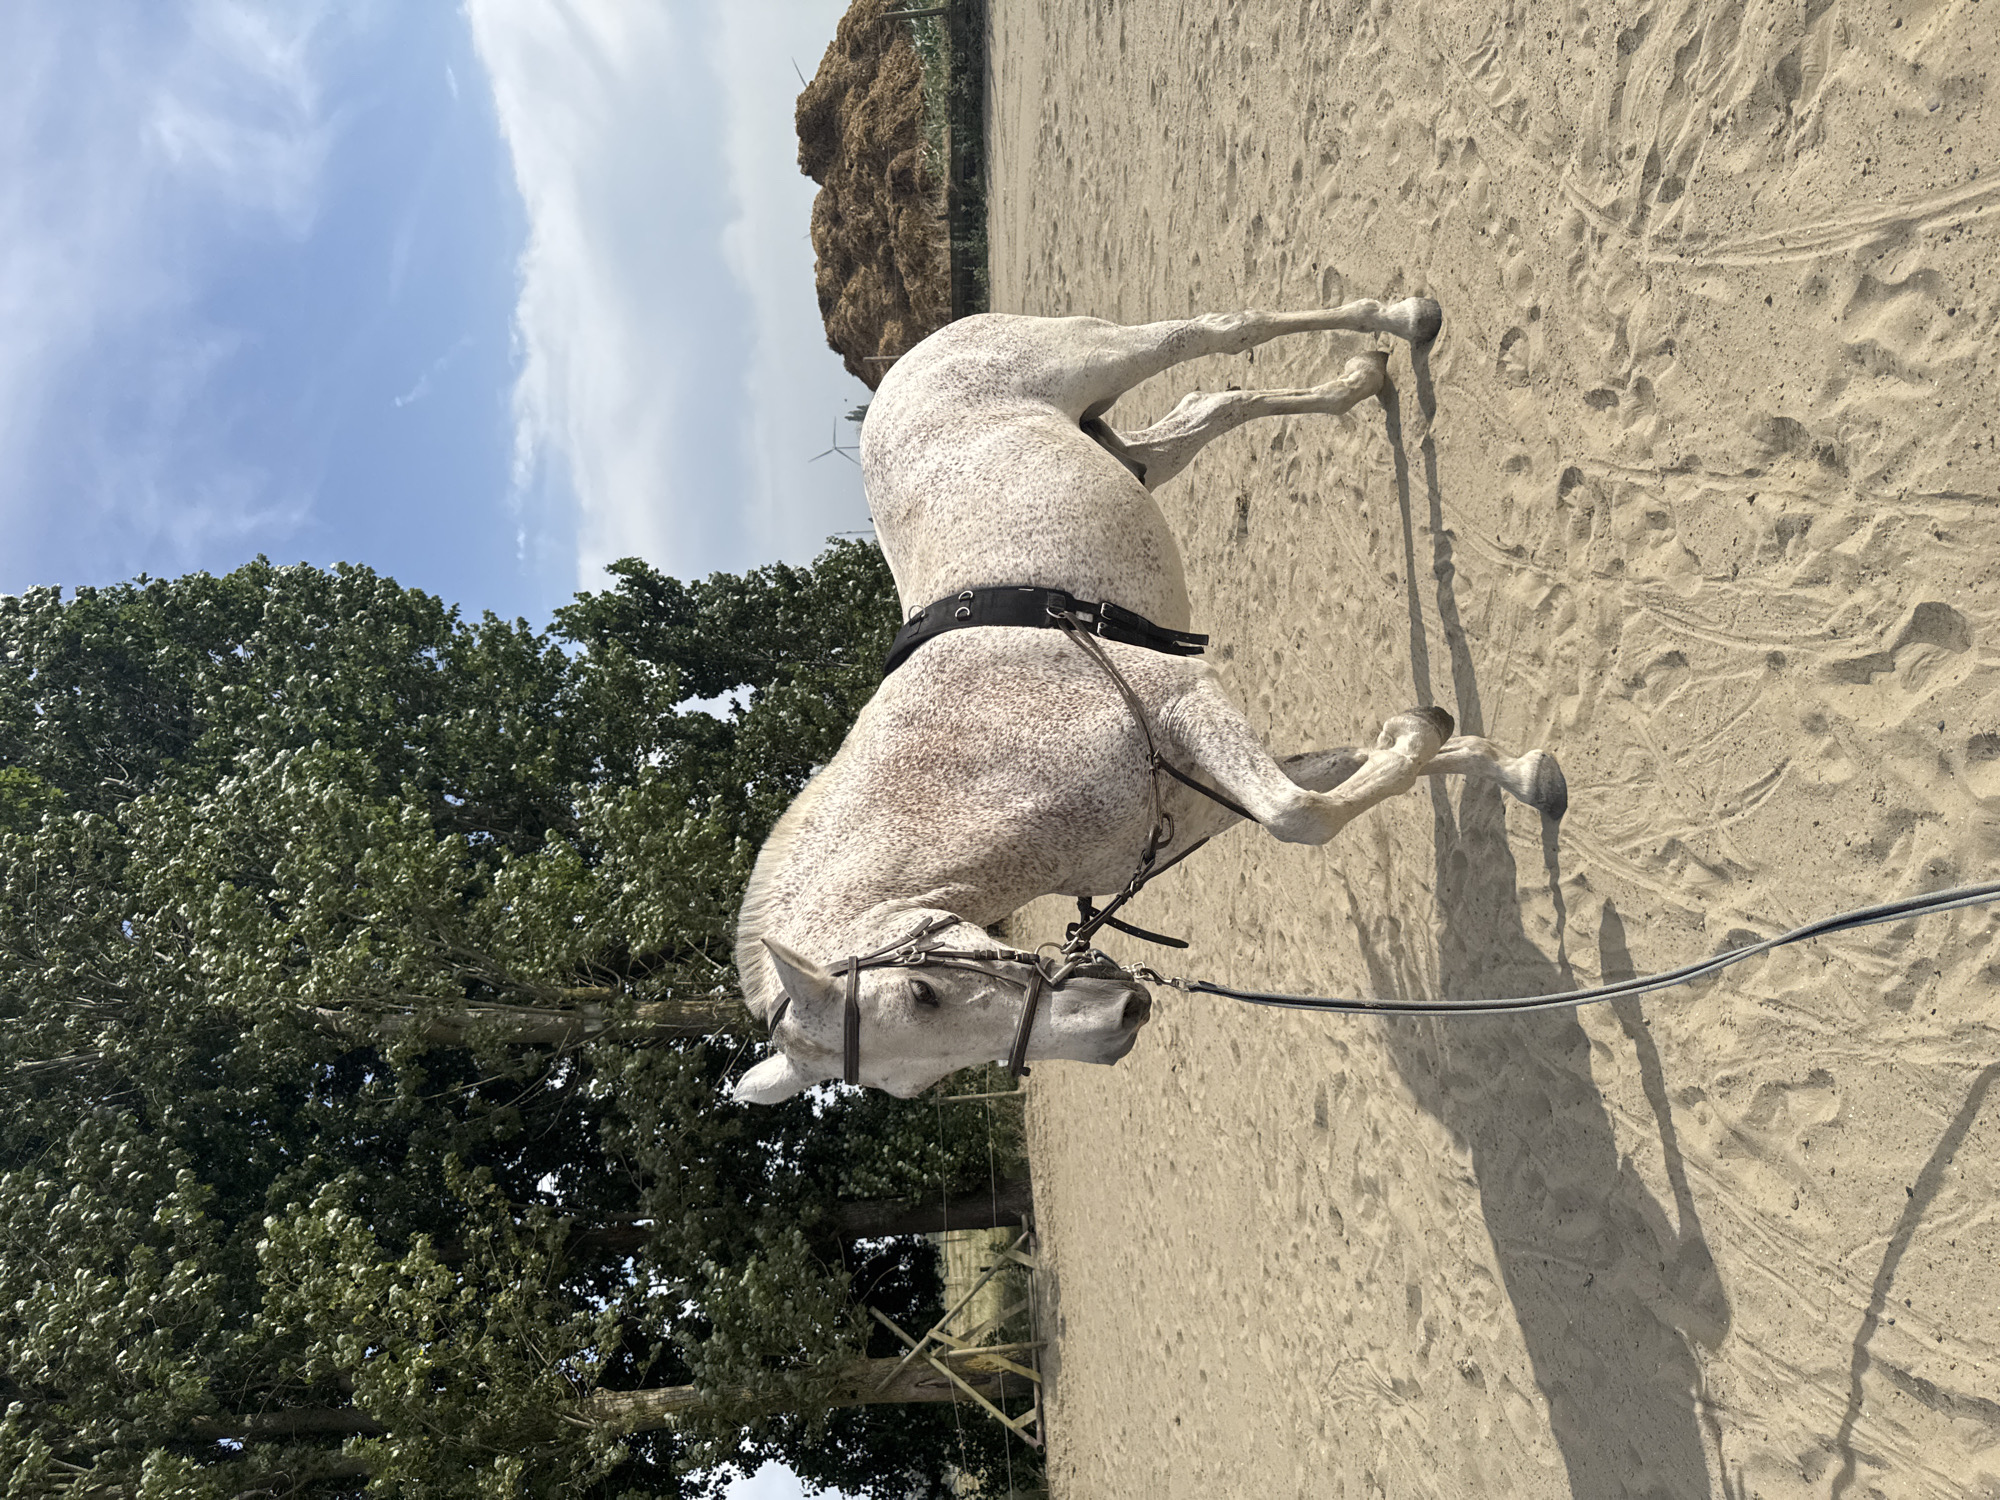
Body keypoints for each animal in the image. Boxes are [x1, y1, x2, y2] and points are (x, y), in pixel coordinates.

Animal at [732, 297, 1567, 1102]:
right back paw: (1360, 381)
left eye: (922, 994)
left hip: (1104, 353)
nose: (1123, 1017)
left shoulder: (1185, 701)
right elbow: (1343, 774)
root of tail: (903, 366)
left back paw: (1403, 321)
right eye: (917, 1080)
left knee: (1220, 334)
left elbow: (1298, 814)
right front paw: (1495, 763)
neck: (979, 771)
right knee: (1208, 408)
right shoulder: (1200, 798)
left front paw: (1448, 745)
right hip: (1124, 452)